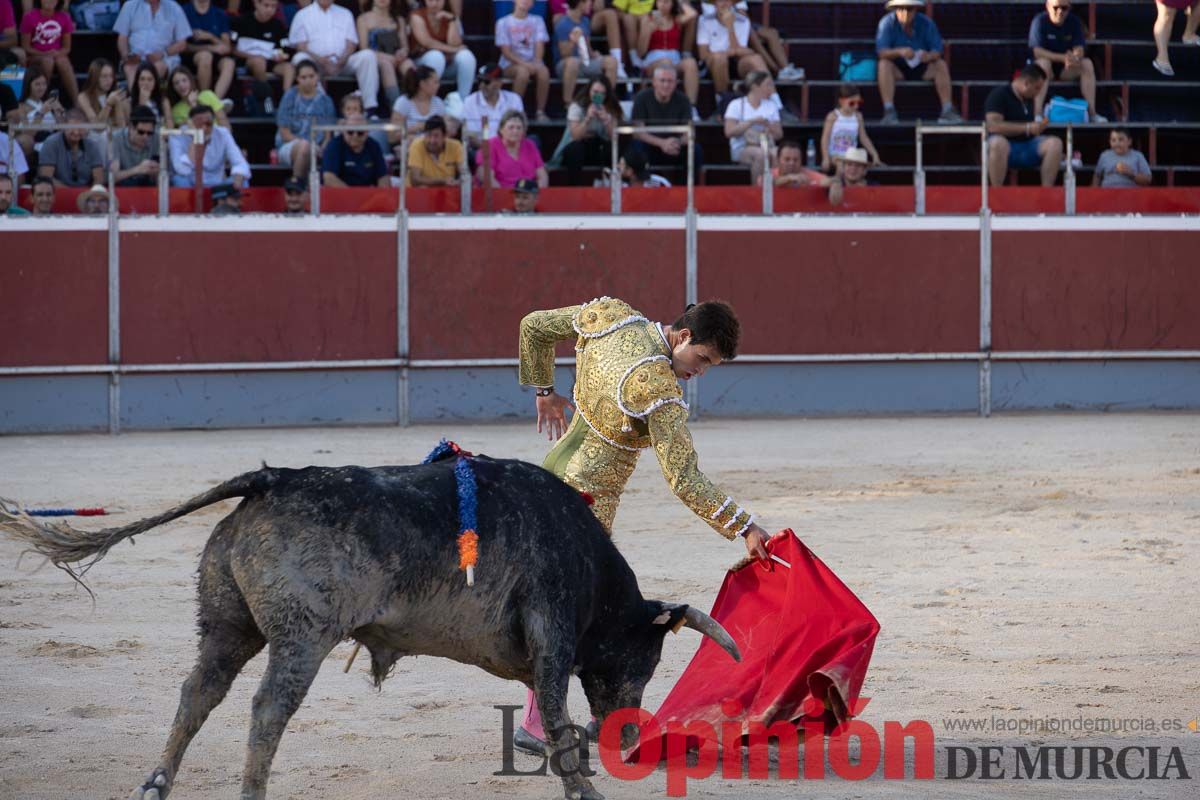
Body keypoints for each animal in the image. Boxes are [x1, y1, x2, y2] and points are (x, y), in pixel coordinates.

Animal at [0, 455, 739, 800]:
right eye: (646, 659)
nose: (630, 736)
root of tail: (269, 479)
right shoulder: (553, 627)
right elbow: (557, 715)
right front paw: (583, 784)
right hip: (302, 636)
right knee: (267, 709)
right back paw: (249, 788)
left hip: (227, 624)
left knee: (198, 692)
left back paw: (157, 782)